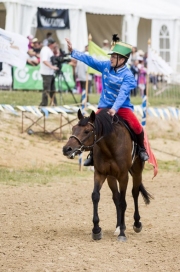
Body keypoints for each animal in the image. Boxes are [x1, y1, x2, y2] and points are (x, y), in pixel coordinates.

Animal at [62, 108, 152, 242]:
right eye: (73, 128)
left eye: (86, 131)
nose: (67, 149)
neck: (110, 146)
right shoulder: (100, 174)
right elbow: (96, 196)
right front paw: (96, 230)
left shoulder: (123, 176)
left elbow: (123, 202)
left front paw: (122, 233)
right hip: (111, 177)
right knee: (116, 197)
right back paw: (118, 226)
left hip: (137, 172)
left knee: (134, 193)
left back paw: (136, 223)